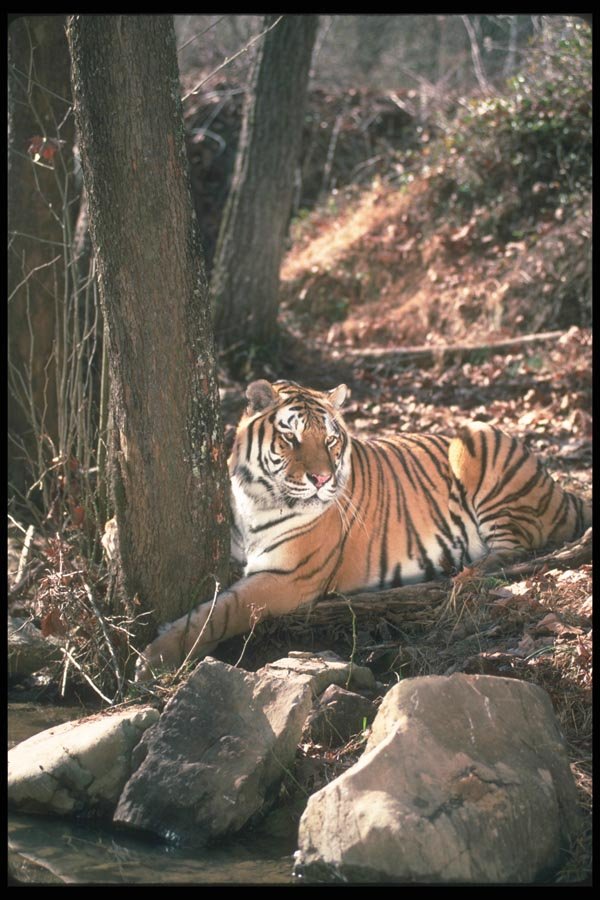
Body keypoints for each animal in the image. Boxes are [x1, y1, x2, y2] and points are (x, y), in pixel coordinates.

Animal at [135, 378, 592, 679]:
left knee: (516, 549)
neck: (256, 498)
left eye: (331, 440)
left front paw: (154, 656)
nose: (321, 479)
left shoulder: (287, 578)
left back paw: (460, 573)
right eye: (291, 438)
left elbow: (221, 610)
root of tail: (556, 486)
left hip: (476, 439)